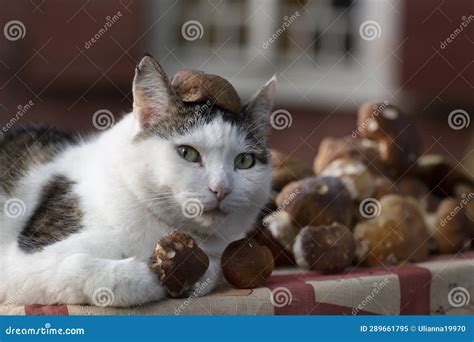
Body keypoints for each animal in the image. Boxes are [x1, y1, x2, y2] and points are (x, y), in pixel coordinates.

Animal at [0, 54, 276, 306]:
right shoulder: (17, 266)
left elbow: (210, 271)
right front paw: (146, 277)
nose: (221, 189)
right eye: (187, 153)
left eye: (244, 161)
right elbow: (79, 267)